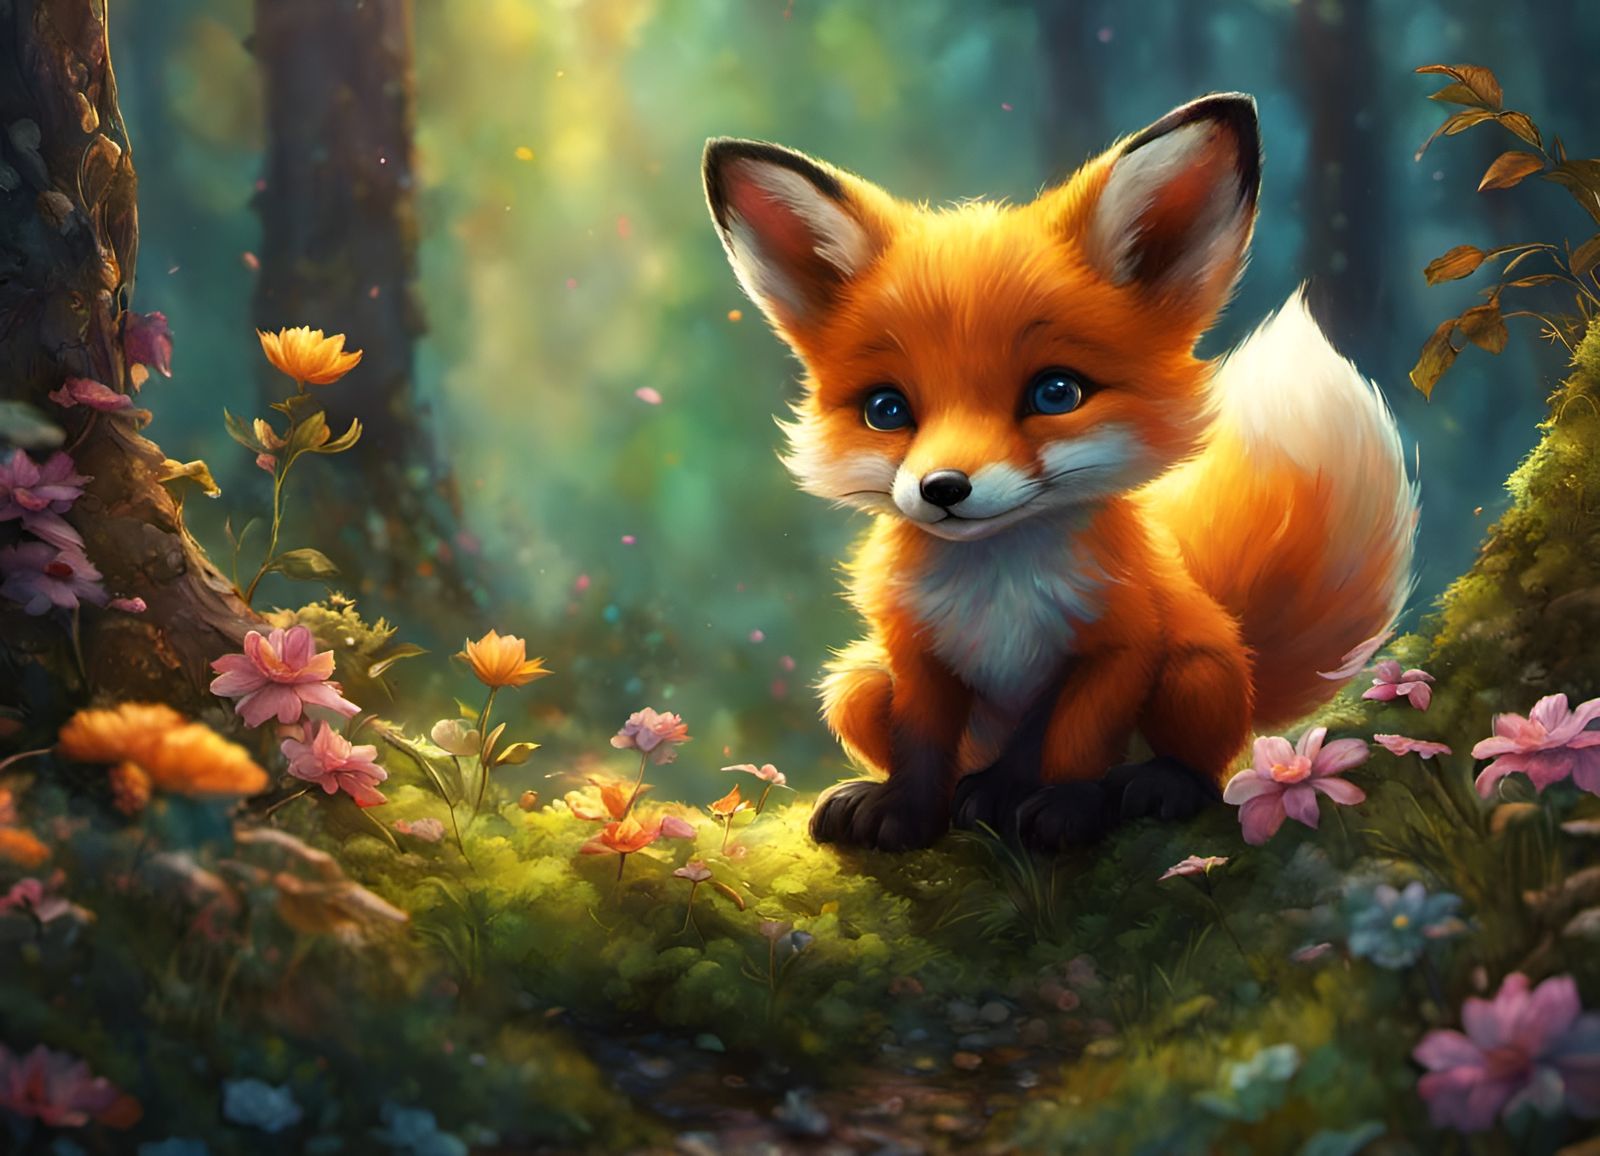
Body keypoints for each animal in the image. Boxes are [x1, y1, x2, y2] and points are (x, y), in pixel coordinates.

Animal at [702, 93, 1417, 853]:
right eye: (886, 409)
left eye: (1056, 394)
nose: (943, 489)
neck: (999, 593)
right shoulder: (915, 653)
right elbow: (920, 743)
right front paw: (905, 811)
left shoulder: (1116, 649)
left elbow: (1069, 741)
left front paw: (1060, 807)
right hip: (856, 682)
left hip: (1199, 673)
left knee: (1202, 761)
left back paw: (1156, 783)